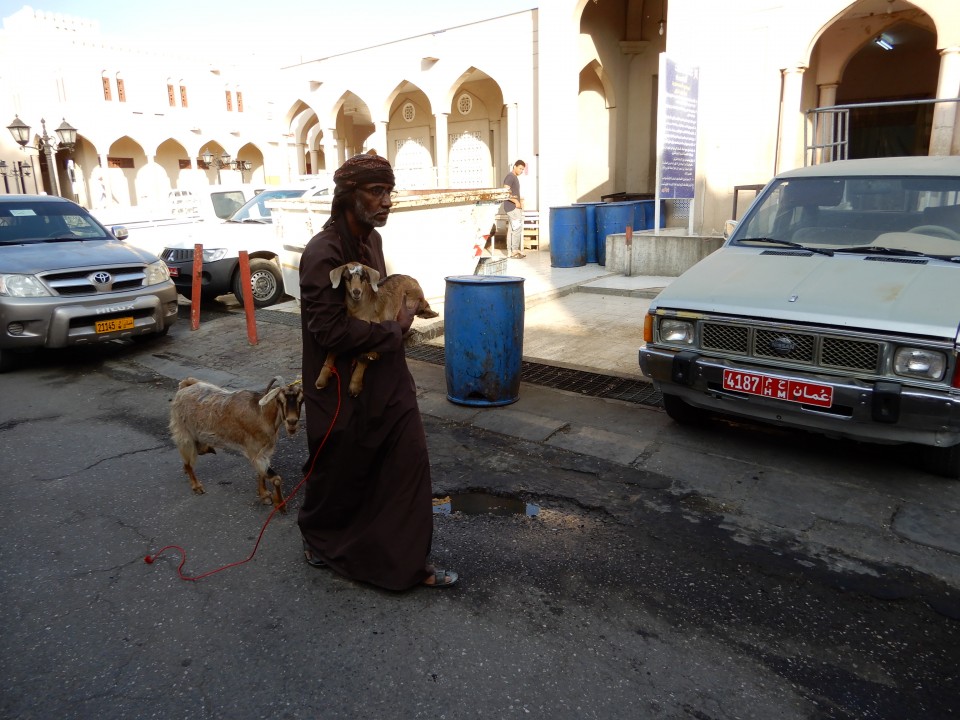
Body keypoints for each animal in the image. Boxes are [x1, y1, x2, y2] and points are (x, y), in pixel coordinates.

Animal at [169, 374, 304, 510]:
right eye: (280, 400)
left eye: (301, 400)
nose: (292, 422)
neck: (262, 414)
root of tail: (185, 386)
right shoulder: (255, 451)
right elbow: (276, 478)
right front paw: (280, 504)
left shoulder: (263, 452)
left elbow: (262, 474)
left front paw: (264, 494)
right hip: (184, 433)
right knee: (189, 458)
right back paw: (196, 486)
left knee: (197, 451)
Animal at [316, 262, 440, 396]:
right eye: (347, 277)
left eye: (363, 277)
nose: (356, 292)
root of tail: (412, 279)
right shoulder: (346, 331)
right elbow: (333, 349)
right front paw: (321, 380)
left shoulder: (374, 327)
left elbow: (364, 357)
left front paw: (355, 386)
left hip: (414, 300)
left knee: (424, 305)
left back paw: (430, 315)